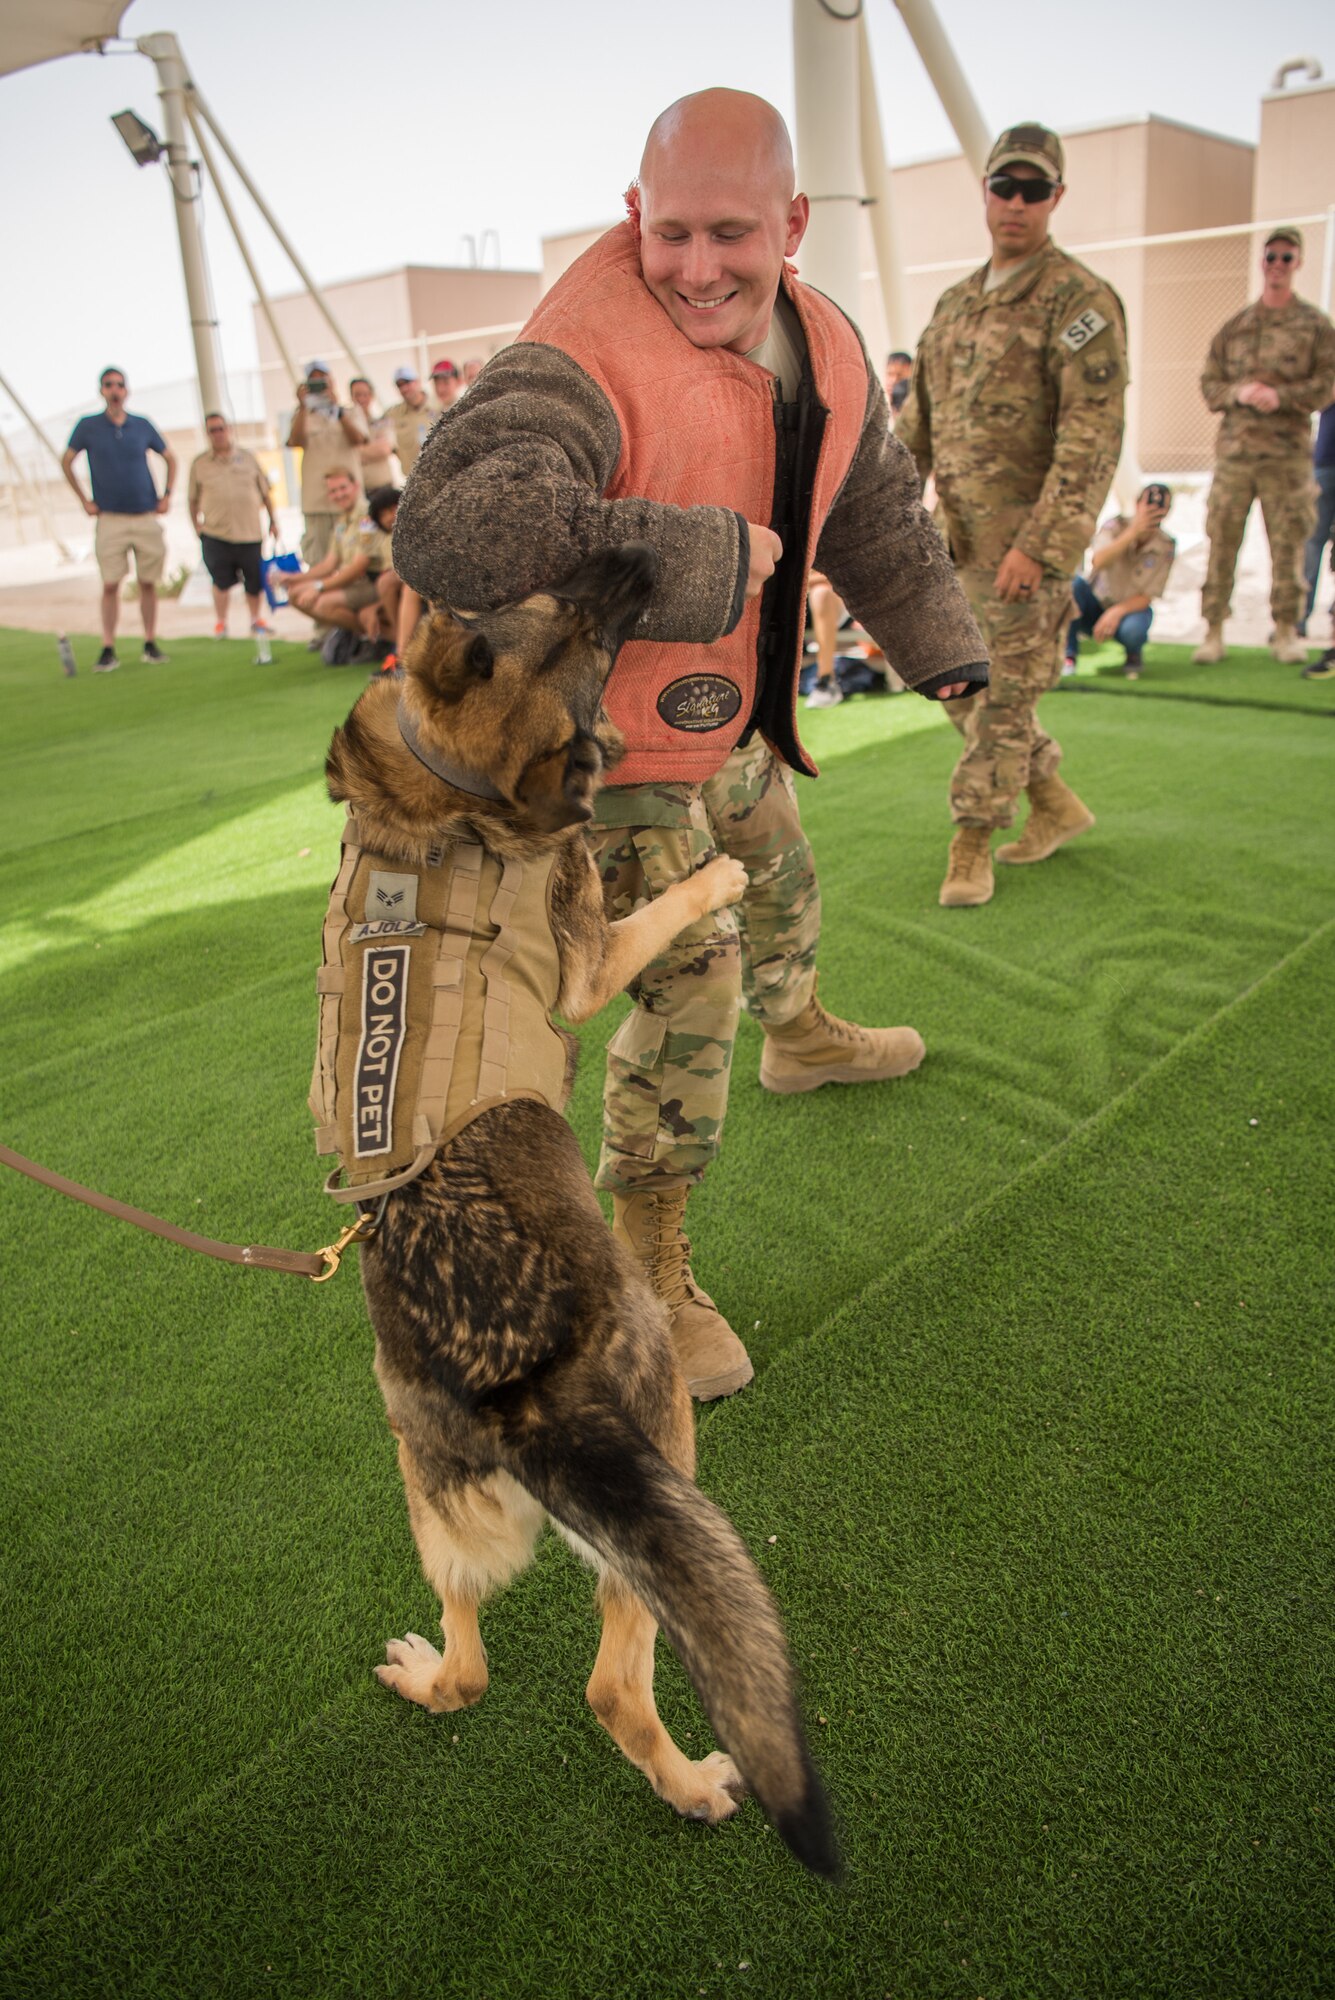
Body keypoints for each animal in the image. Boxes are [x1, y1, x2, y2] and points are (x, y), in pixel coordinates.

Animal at [313, 540, 835, 1864]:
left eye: (526, 600)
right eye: (583, 630)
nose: (636, 551)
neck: (440, 794)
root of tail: (510, 1385)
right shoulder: (594, 961)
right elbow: (649, 900)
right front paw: (712, 866)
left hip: (432, 1505)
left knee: (471, 1667)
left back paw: (423, 1670)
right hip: (665, 1459)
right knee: (612, 1684)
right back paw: (693, 1783)